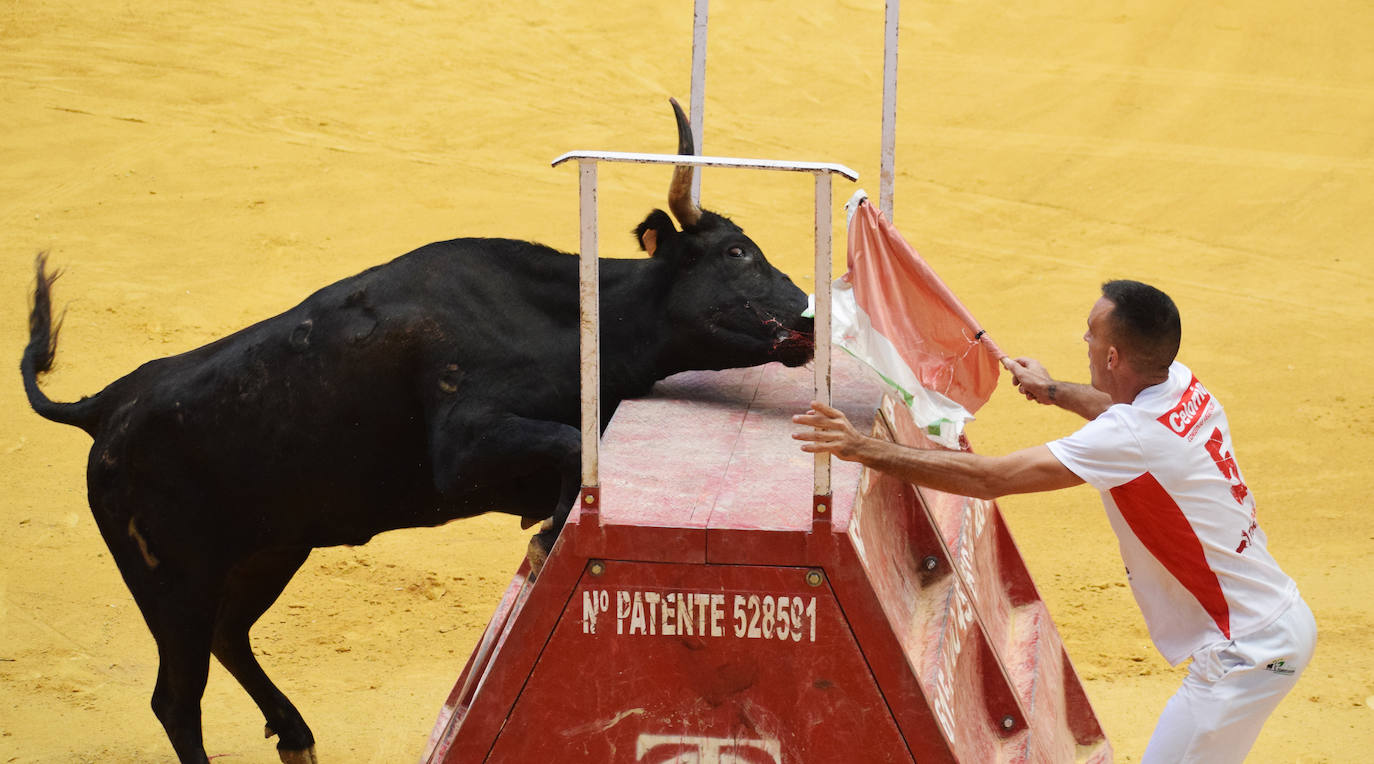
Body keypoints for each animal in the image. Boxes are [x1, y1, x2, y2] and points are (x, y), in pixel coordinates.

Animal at [18, 100, 813, 764]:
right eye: (737, 253)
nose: (808, 314)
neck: (566, 315)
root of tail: (105, 405)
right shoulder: (463, 447)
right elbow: (565, 445)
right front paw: (548, 537)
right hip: (169, 582)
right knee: (177, 702)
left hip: (270, 550)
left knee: (229, 635)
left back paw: (296, 736)